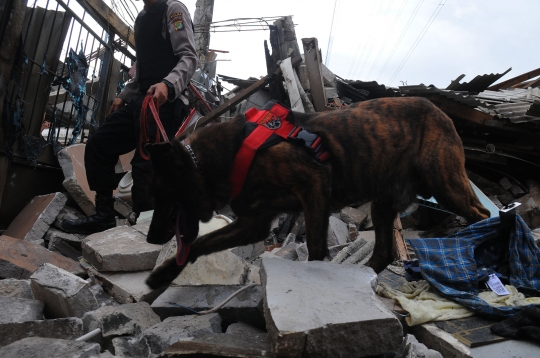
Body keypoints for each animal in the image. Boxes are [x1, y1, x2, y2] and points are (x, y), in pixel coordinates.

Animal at [142, 97, 490, 288]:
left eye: (161, 195)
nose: (151, 238)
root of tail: (441, 111)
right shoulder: (254, 223)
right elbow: (200, 243)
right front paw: (164, 275)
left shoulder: (313, 185)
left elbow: (316, 247)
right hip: (384, 201)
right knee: (384, 252)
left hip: (445, 183)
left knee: (482, 214)